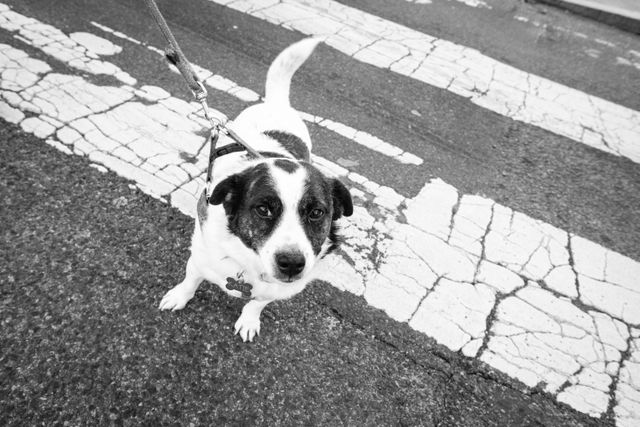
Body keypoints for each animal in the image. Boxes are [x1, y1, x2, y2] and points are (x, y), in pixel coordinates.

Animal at [158, 38, 352, 342]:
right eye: (263, 209)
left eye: (316, 212)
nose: (292, 263)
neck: (249, 263)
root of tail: (275, 103)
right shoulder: (200, 257)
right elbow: (191, 280)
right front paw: (179, 296)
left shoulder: (276, 288)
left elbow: (257, 303)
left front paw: (249, 320)